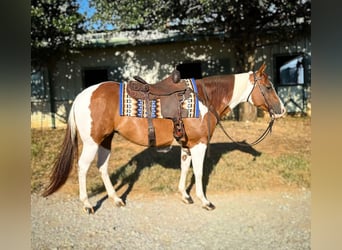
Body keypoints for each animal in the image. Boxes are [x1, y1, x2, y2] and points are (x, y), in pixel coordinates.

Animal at [42, 63, 284, 213]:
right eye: (268, 87)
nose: (281, 111)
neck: (205, 98)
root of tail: (81, 95)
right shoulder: (199, 145)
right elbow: (198, 172)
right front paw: (204, 201)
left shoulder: (187, 145)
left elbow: (185, 168)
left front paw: (185, 196)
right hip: (92, 142)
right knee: (83, 168)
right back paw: (87, 205)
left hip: (106, 140)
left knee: (102, 167)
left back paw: (116, 199)